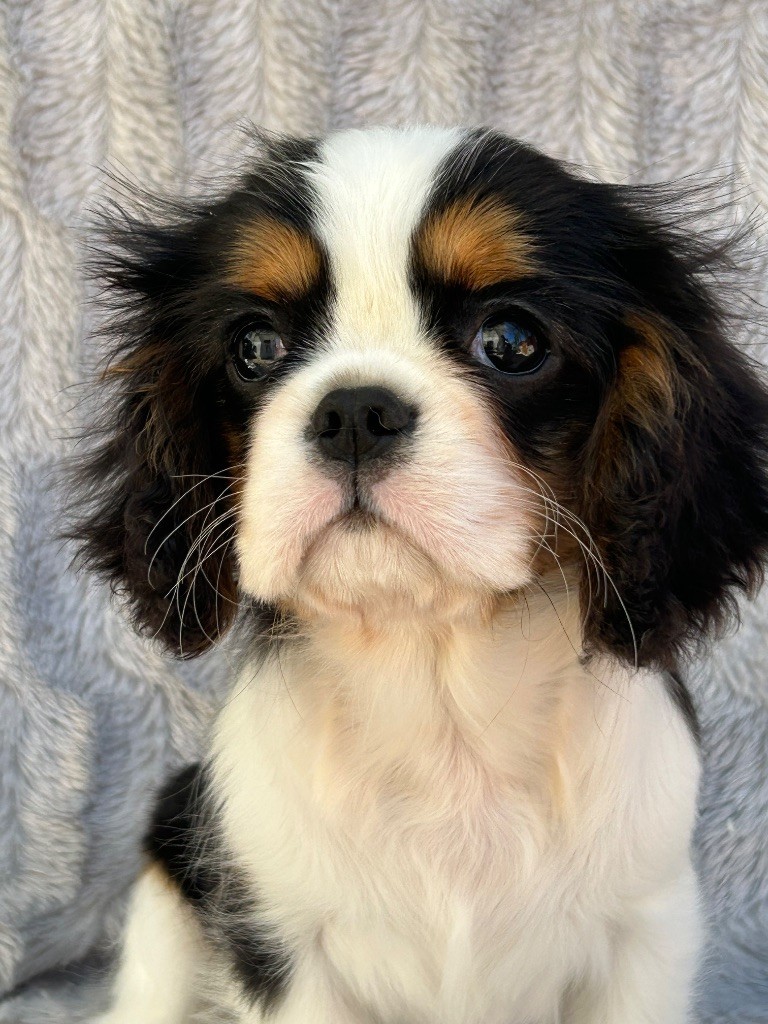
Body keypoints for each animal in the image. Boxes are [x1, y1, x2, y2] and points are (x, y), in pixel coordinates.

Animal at [74, 126, 768, 1024]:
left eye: (511, 342)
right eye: (255, 348)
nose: (354, 413)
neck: (438, 681)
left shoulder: (644, 931)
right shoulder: (278, 942)